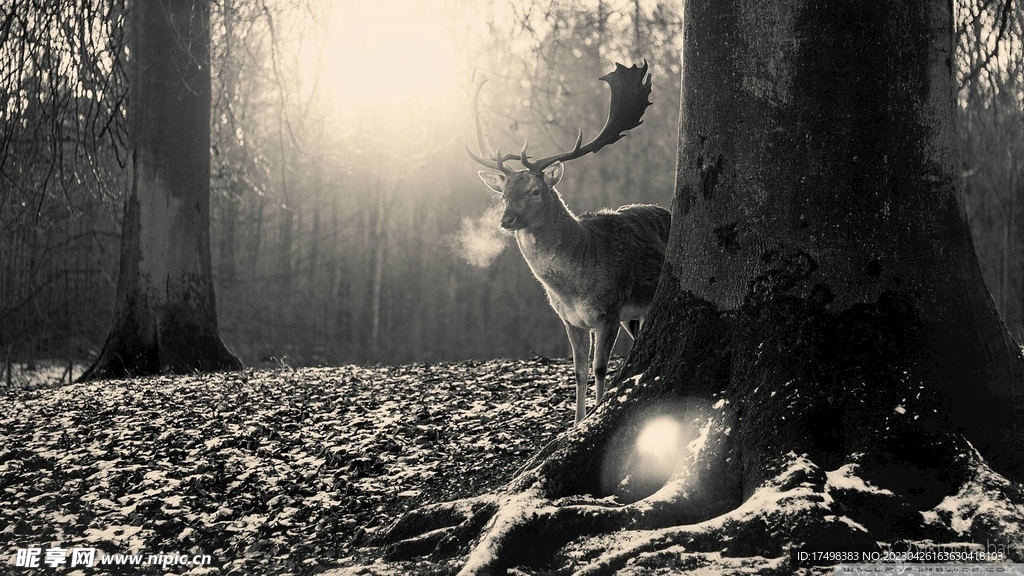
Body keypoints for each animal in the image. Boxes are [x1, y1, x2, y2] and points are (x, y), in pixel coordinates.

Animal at [466, 61, 672, 425]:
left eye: (535, 190)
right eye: (503, 194)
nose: (507, 220)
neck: (573, 286)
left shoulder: (608, 309)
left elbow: (600, 367)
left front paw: (596, 413)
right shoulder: (569, 320)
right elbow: (578, 371)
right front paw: (575, 423)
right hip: (634, 314)